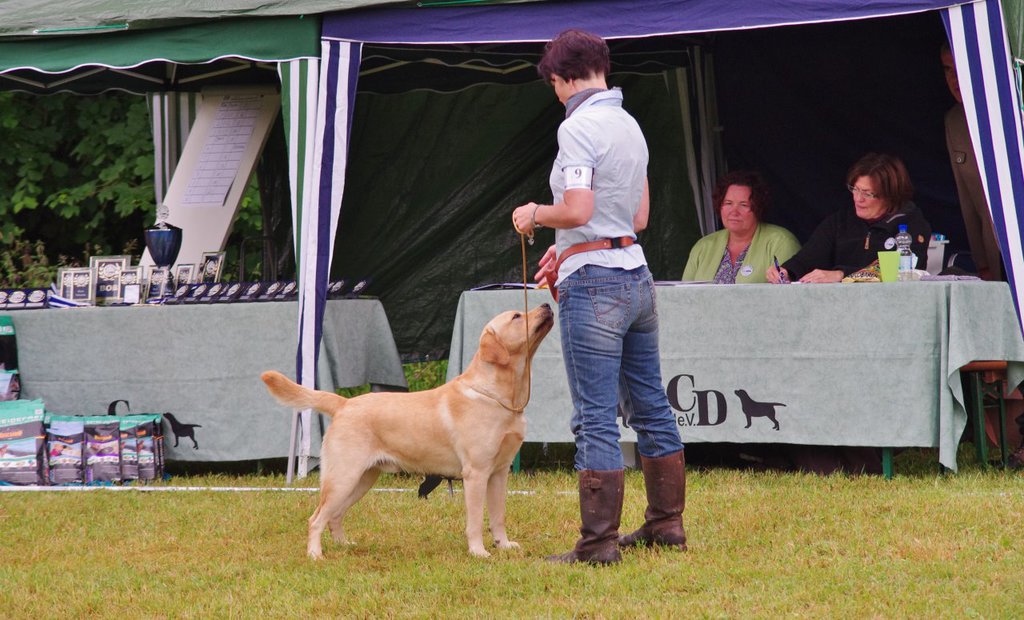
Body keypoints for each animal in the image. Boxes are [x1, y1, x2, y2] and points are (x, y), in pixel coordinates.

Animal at [261, 303, 554, 560]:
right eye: (517, 316)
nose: (547, 305)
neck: (498, 395)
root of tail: (344, 403)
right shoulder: (476, 473)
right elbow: (475, 520)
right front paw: (478, 552)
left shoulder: (499, 472)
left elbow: (498, 516)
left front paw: (504, 545)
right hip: (343, 477)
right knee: (316, 518)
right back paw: (315, 554)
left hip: (362, 479)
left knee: (334, 515)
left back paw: (345, 545)